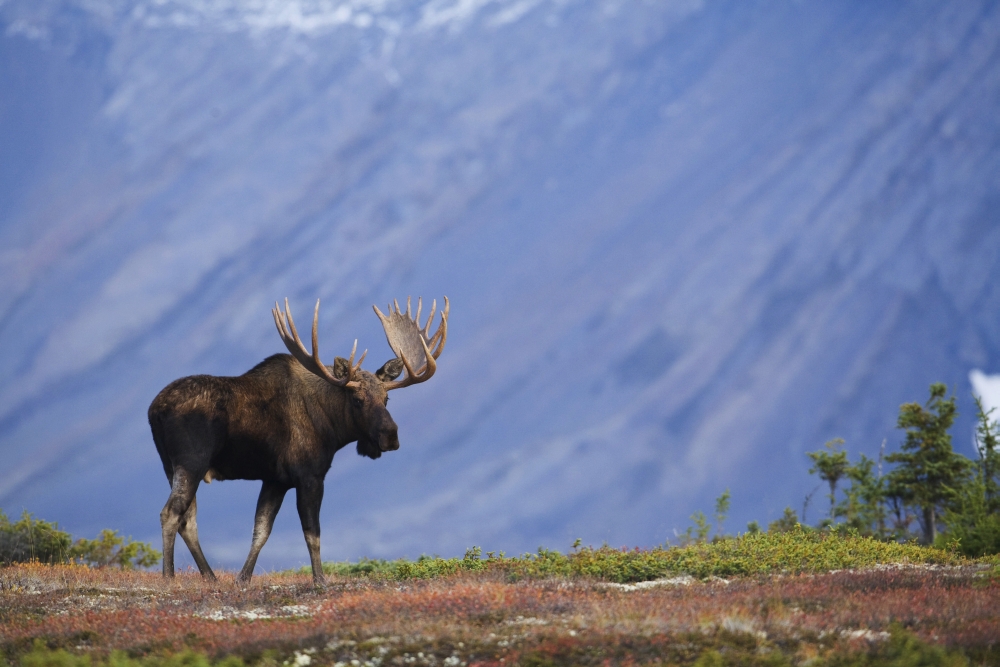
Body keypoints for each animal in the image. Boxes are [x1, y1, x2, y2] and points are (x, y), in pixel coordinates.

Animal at [148, 296, 448, 584]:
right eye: (357, 399)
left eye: (386, 398)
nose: (391, 435)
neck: (332, 427)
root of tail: (154, 410)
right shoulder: (309, 476)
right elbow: (312, 533)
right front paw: (320, 580)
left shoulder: (275, 480)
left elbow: (261, 530)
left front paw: (242, 579)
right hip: (192, 461)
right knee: (171, 512)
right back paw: (168, 576)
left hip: (170, 465)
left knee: (188, 519)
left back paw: (210, 577)